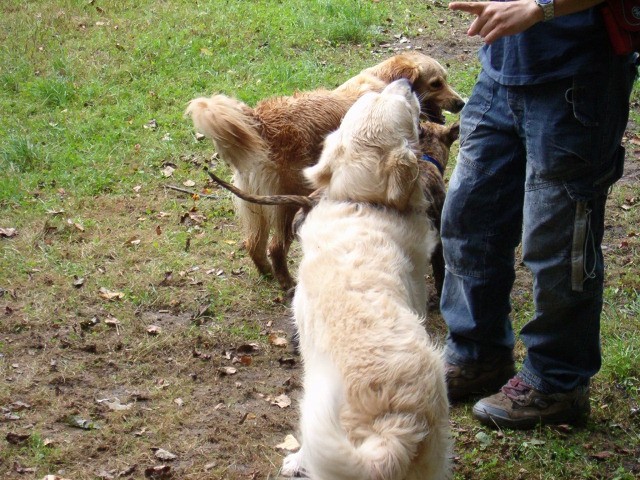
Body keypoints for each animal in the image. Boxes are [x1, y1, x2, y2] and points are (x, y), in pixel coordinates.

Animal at [186, 53, 464, 292]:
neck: (384, 79)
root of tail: (260, 120)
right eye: (436, 83)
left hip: (257, 205)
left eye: (445, 79)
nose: (461, 103)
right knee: (276, 247)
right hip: (287, 204)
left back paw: (268, 274)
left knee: (254, 244)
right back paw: (287, 283)